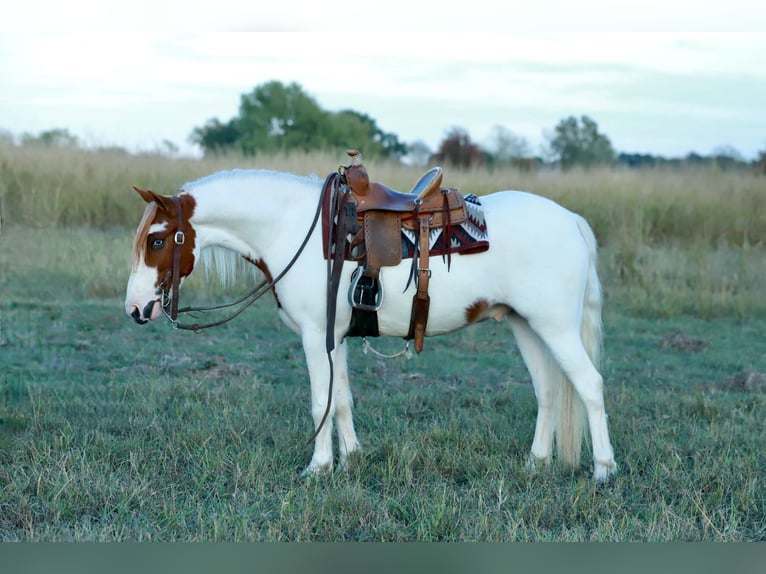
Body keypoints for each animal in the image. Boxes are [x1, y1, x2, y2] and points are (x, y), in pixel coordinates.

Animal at [124, 165, 618, 482]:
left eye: (157, 240)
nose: (135, 309)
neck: (294, 231)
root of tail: (570, 220)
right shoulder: (335, 337)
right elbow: (341, 400)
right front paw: (352, 460)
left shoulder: (314, 336)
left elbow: (320, 402)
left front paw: (318, 468)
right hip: (526, 325)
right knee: (549, 391)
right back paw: (537, 463)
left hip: (554, 328)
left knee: (590, 385)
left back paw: (604, 470)